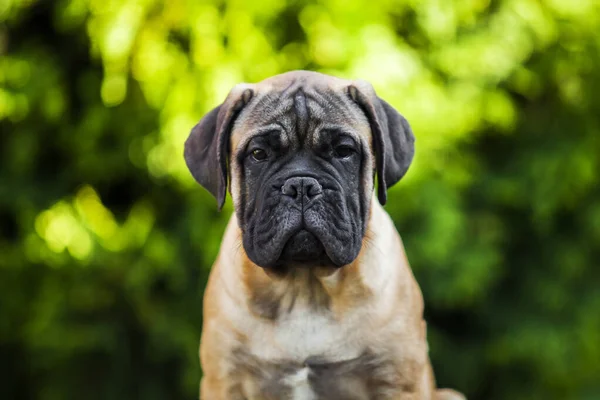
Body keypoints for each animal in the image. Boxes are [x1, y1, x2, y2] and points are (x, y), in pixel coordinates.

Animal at [185, 71, 466, 400]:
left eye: (344, 151)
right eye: (258, 154)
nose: (301, 185)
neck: (304, 288)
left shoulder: (398, 382)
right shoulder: (225, 381)